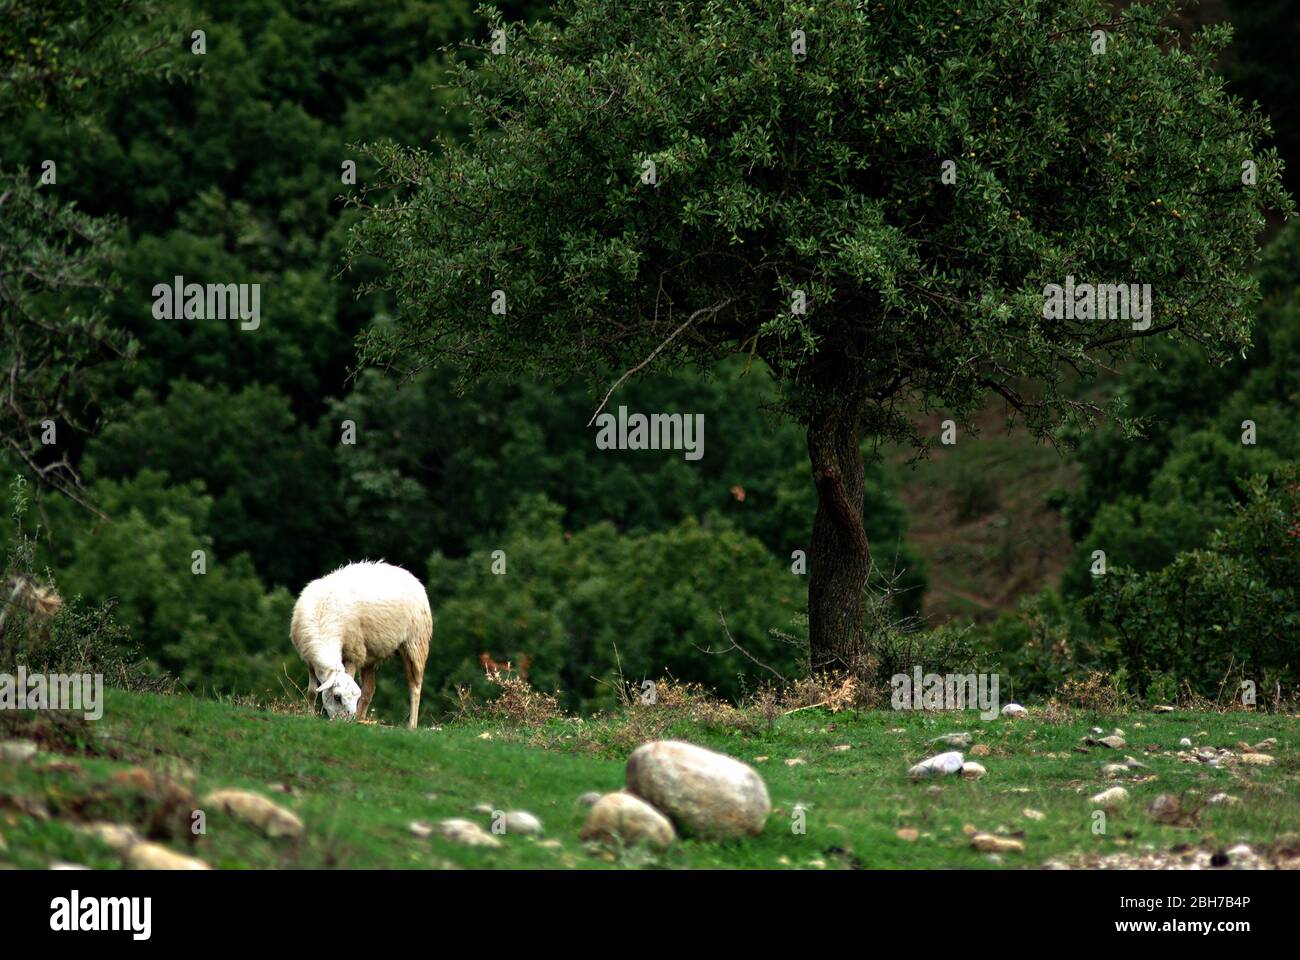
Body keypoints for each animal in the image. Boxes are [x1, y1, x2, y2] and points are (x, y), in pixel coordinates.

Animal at [289, 561, 431, 723]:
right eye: (337, 697)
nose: (346, 723)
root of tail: (408, 574)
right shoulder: (309, 660)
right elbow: (312, 692)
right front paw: (310, 715)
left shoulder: (353, 653)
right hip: (371, 654)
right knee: (369, 689)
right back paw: (361, 718)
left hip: (415, 644)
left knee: (415, 687)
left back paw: (412, 725)